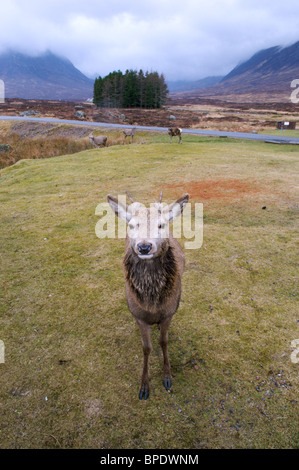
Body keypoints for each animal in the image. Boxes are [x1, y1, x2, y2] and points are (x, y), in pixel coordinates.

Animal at [106, 191, 189, 400]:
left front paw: (167, 376)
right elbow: (147, 348)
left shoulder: (169, 313)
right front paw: (144, 386)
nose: (144, 247)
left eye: (161, 224)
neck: (152, 305)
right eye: (131, 225)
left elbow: (163, 341)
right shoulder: (139, 316)